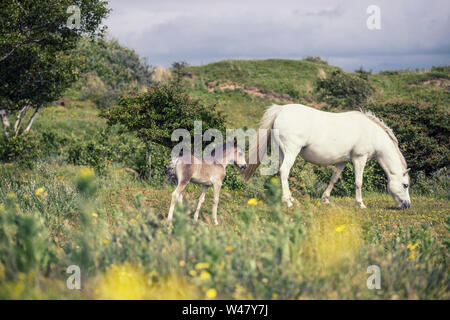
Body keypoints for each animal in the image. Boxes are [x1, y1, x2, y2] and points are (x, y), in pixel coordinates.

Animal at [246, 104, 412, 210]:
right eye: (405, 185)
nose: (407, 205)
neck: (371, 133)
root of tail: (281, 109)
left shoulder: (342, 161)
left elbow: (334, 179)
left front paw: (325, 199)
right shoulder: (359, 158)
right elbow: (358, 182)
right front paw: (360, 204)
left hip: (283, 152)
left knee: (282, 173)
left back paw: (290, 199)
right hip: (292, 151)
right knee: (284, 171)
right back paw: (288, 202)